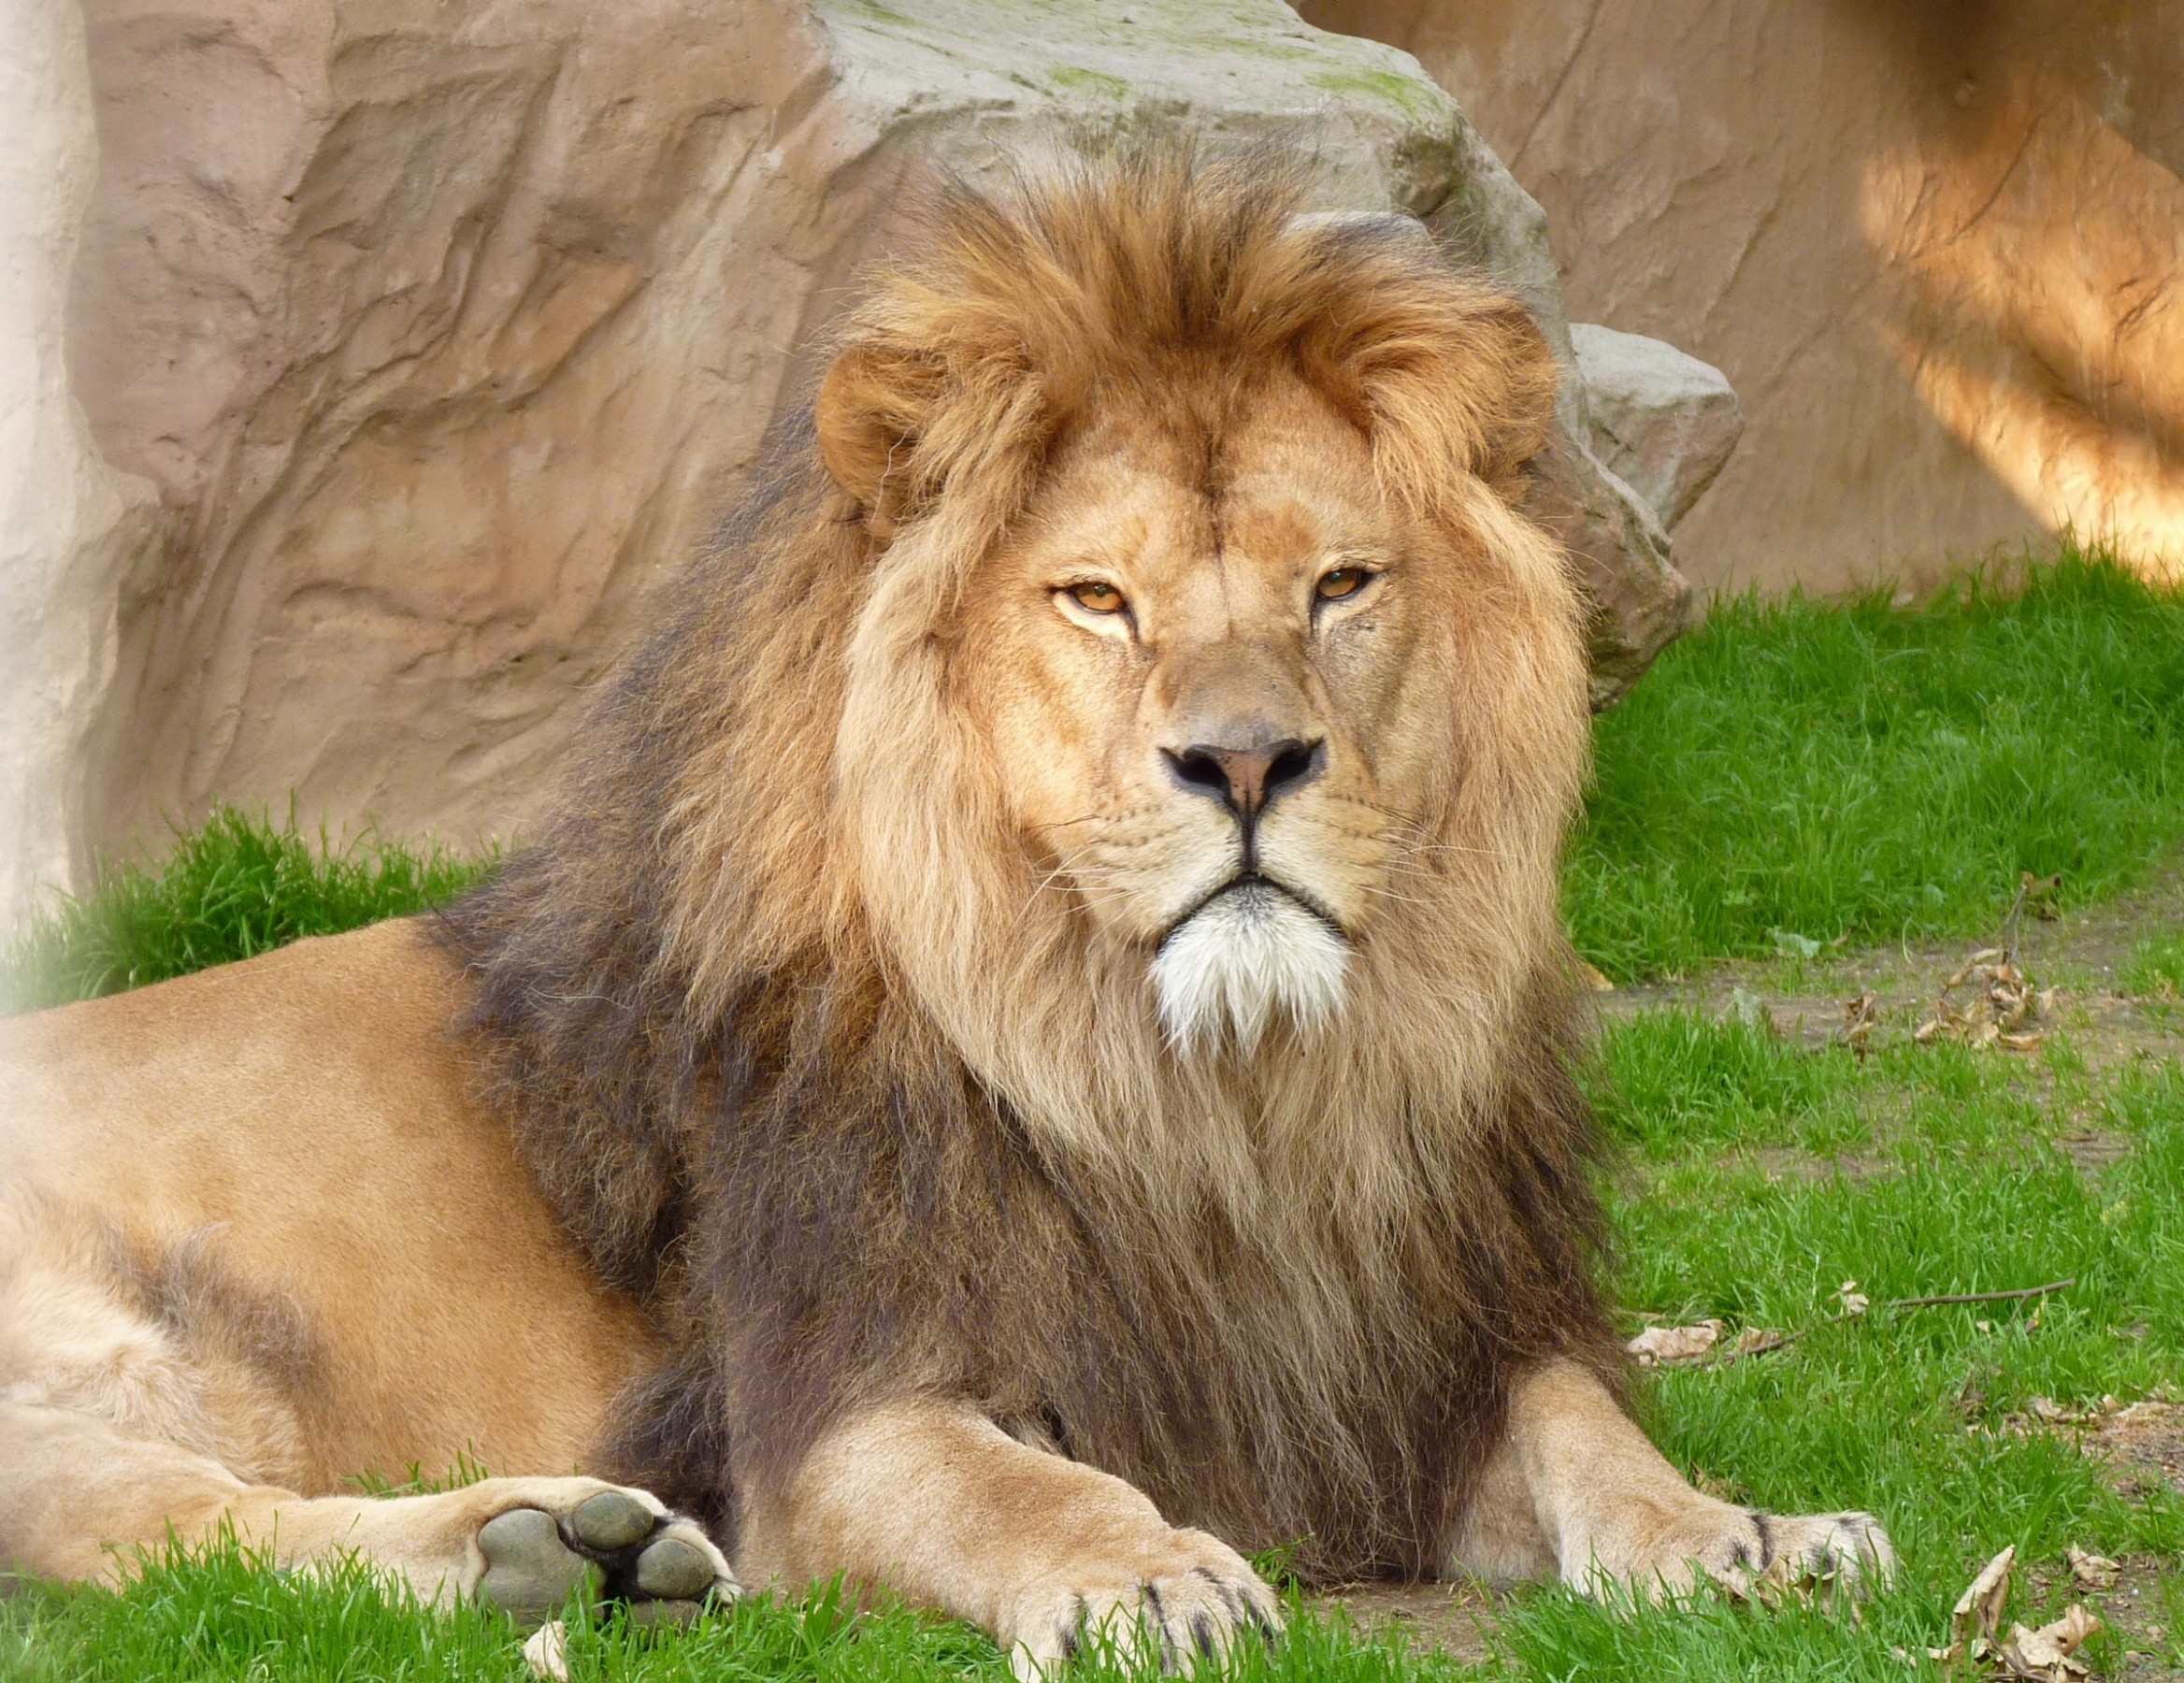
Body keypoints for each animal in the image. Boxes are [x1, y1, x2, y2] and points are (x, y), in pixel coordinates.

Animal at [0, 143, 1891, 1669]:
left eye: (1342, 585)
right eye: (1097, 599)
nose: (1249, 761)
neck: (1210, 1099)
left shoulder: (1413, 1358)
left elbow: (1589, 1428)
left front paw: (1747, 1536)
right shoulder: (829, 1406)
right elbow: (1011, 1490)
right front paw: (1150, 1579)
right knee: (144, 1524)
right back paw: (536, 1556)